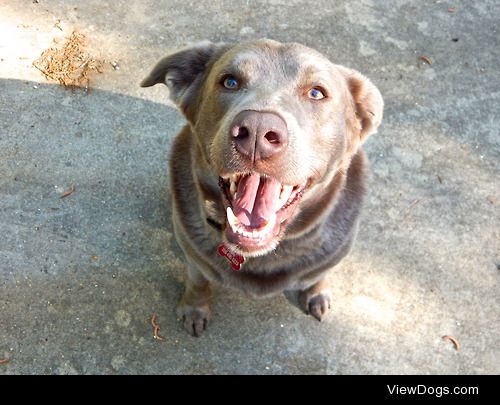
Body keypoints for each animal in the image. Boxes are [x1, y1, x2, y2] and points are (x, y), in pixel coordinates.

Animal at [141, 38, 382, 334]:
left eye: (317, 93)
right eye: (229, 81)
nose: (257, 131)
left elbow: (319, 275)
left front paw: (316, 293)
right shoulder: (195, 258)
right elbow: (198, 282)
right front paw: (194, 308)